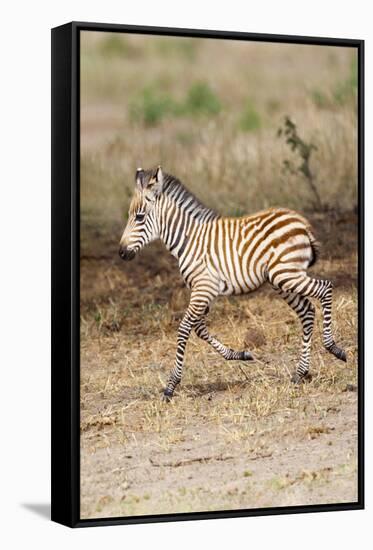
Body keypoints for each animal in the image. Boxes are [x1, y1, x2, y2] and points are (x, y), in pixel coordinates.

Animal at [119, 166, 346, 404]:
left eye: (140, 217)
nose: (121, 253)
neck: (189, 240)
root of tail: (301, 222)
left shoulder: (203, 288)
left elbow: (184, 328)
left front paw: (171, 386)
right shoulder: (204, 291)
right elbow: (199, 329)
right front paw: (240, 355)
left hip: (286, 275)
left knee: (325, 288)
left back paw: (334, 348)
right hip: (282, 279)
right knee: (307, 311)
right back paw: (300, 373)